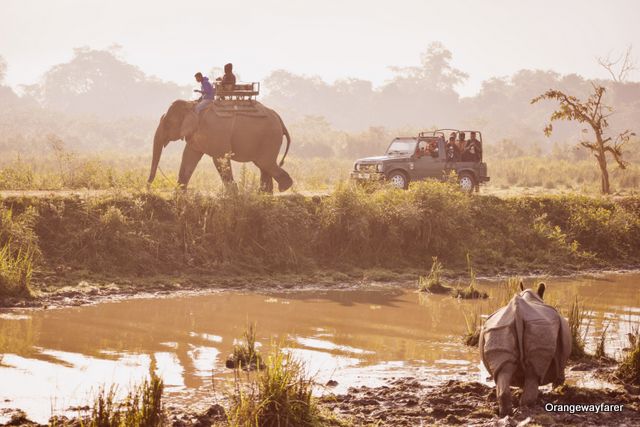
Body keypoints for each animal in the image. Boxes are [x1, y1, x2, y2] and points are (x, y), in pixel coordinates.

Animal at [148, 99, 292, 193]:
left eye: (167, 124)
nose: (148, 188)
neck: (192, 104)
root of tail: (280, 119)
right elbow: (189, 156)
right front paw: (179, 195)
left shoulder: (215, 131)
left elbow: (219, 158)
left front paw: (233, 195)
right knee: (264, 166)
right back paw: (265, 195)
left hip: (270, 138)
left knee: (265, 163)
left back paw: (283, 188)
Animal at [480, 284, 568, 418]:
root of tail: (518, 313)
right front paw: (557, 388)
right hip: (539, 327)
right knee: (533, 374)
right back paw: (529, 409)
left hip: (498, 328)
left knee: (504, 371)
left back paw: (506, 413)